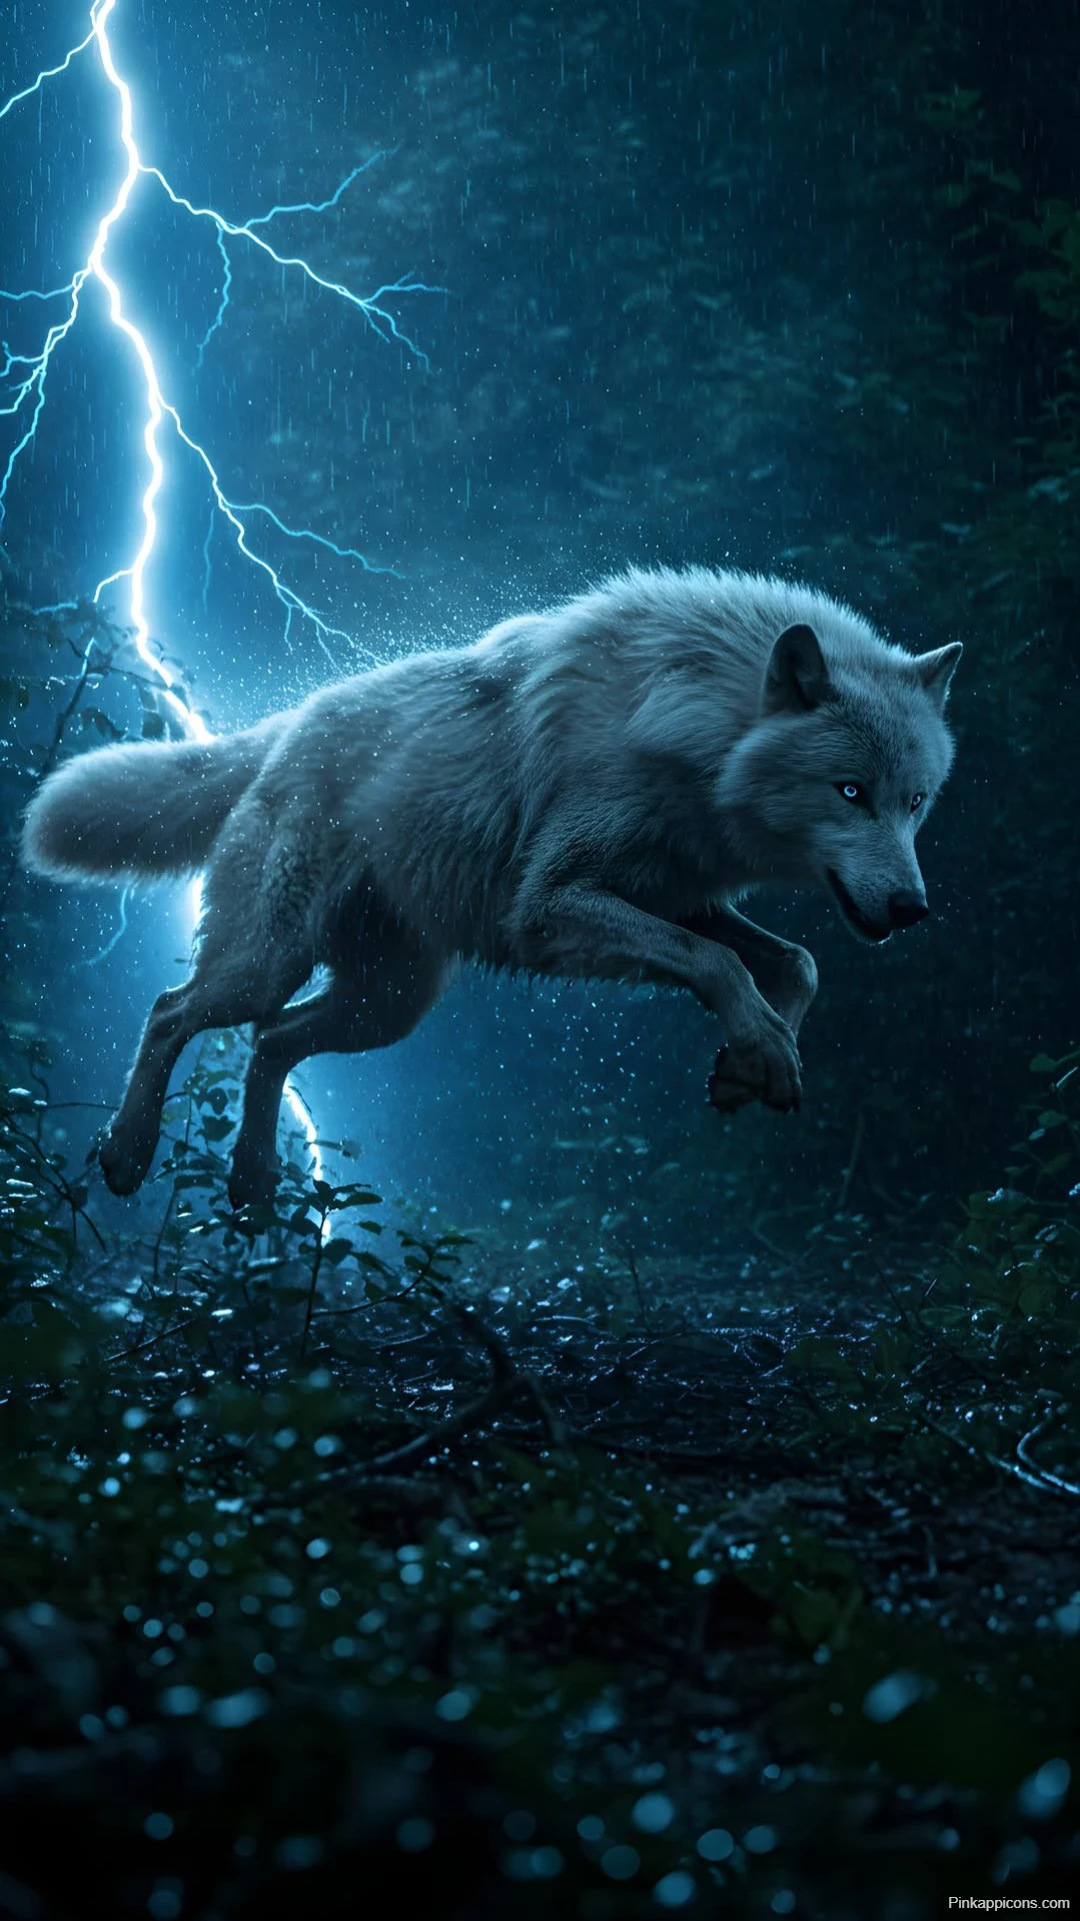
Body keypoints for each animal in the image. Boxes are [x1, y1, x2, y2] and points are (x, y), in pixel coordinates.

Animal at [22, 568, 961, 1208]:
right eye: (851, 792)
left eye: (916, 801)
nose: (913, 909)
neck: (687, 727)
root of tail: (287, 724)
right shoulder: (548, 908)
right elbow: (722, 964)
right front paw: (761, 1047)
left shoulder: (678, 897)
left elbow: (795, 962)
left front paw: (749, 1062)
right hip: (270, 962)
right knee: (174, 1010)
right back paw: (127, 1153)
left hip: (388, 1006)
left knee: (271, 1040)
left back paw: (252, 1184)